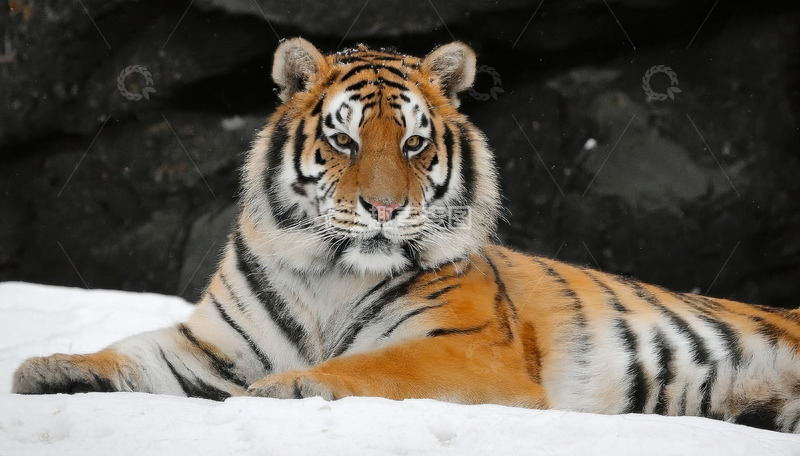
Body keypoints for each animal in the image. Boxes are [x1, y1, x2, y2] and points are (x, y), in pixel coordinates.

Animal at [13, 38, 800, 434]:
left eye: (415, 144)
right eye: (345, 141)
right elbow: (132, 353)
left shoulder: (470, 348)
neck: (330, 275)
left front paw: (287, 388)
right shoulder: (214, 346)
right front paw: (46, 368)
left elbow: (374, 366)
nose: (385, 208)